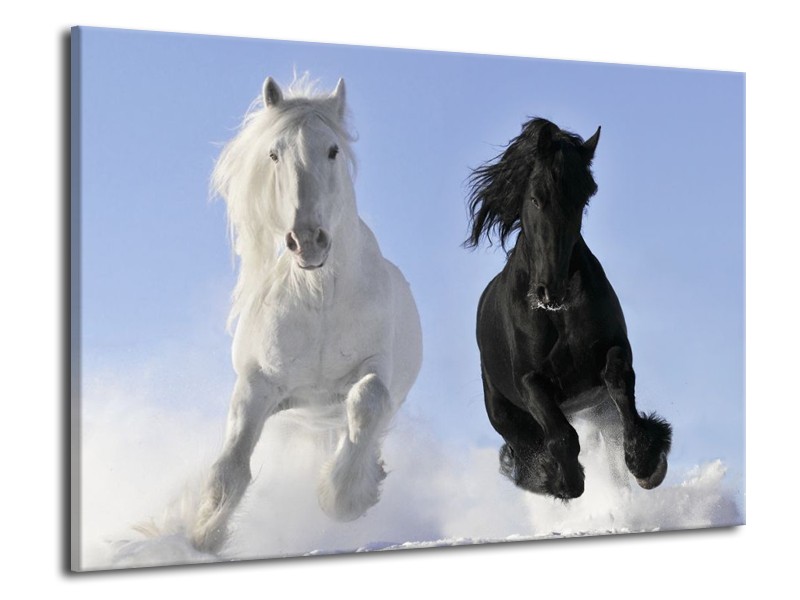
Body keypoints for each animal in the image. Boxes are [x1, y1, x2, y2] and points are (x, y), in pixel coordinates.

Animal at [190, 76, 422, 553]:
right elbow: (230, 468)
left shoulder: (375, 370)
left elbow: (368, 401)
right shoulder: (258, 385)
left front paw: (346, 496)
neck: (319, 299)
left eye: (332, 150)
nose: (307, 240)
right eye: (274, 153)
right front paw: (203, 536)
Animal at [465, 117, 672, 501]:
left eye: (582, 200)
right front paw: (564, 481)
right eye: (535, 197)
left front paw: (646, 462)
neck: (557, 316)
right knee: (527, 448)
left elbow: (619, 382)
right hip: (506, 414)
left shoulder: (613, 350)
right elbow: (561, 436)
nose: (551, 290)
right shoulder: (530, 381)